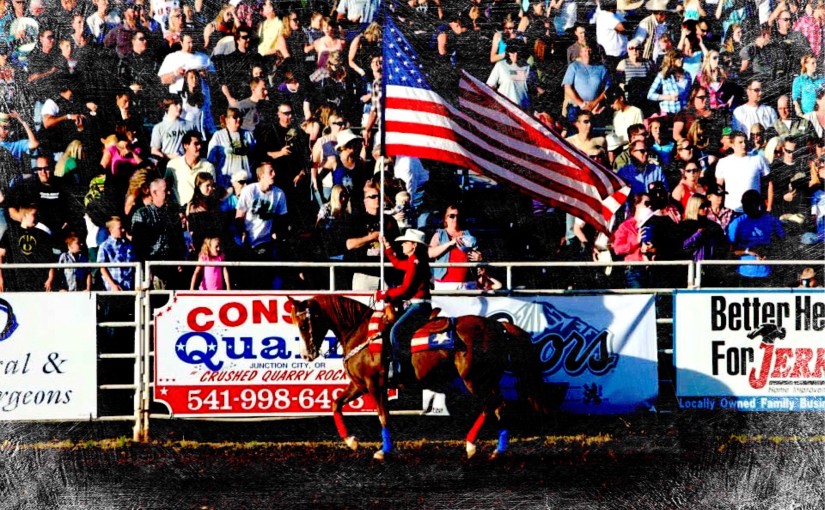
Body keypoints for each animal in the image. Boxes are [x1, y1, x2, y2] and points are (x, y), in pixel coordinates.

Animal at [288, 292, 568, 460]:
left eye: (304, 324)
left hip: (474, 380)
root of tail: (498, 326)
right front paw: (351, 442)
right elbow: (336, 404)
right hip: (487, 379)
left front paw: (384, 451)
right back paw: (498, 451)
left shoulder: (374, 385)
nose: (307, 355)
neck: (361, 331)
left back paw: (471, 445)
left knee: (492, 406)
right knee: (499, 407)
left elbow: (383, 416)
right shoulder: (359, 384)